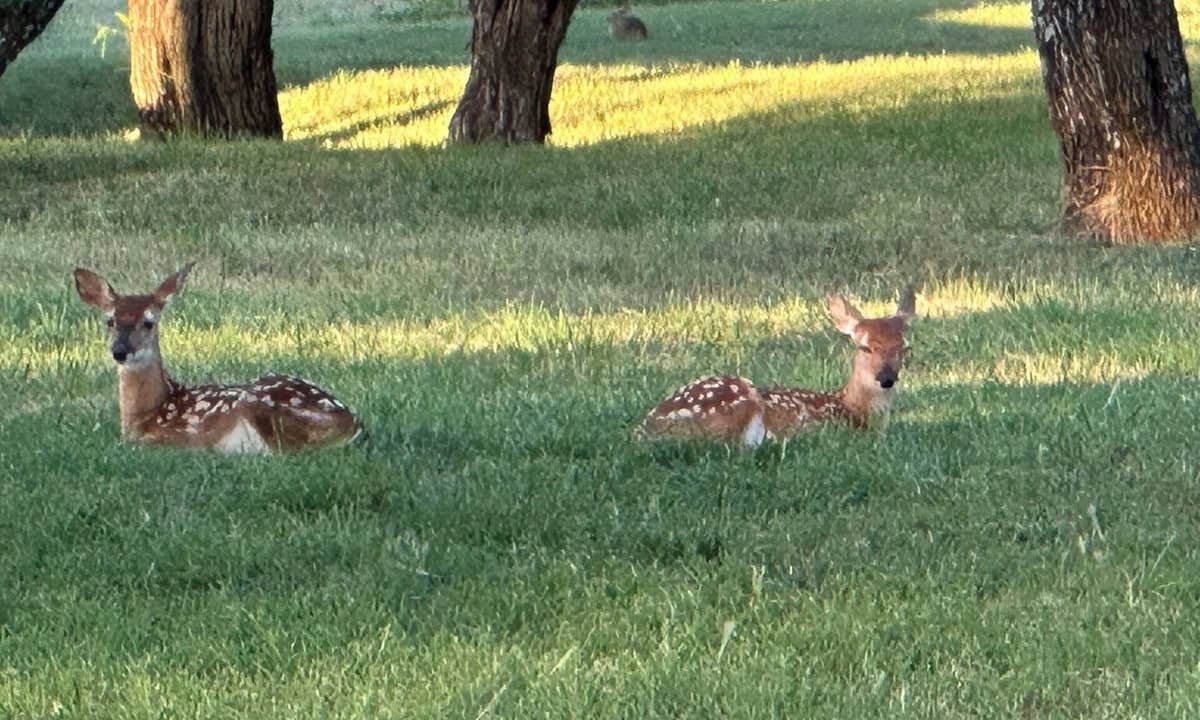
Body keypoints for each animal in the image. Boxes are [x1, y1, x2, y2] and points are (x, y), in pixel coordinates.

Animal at [74, 263, 364, 454]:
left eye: (148, 322)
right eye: (110, 321)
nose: (119, 351)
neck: (151, 412)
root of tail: (353, 423)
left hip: (262, 406)